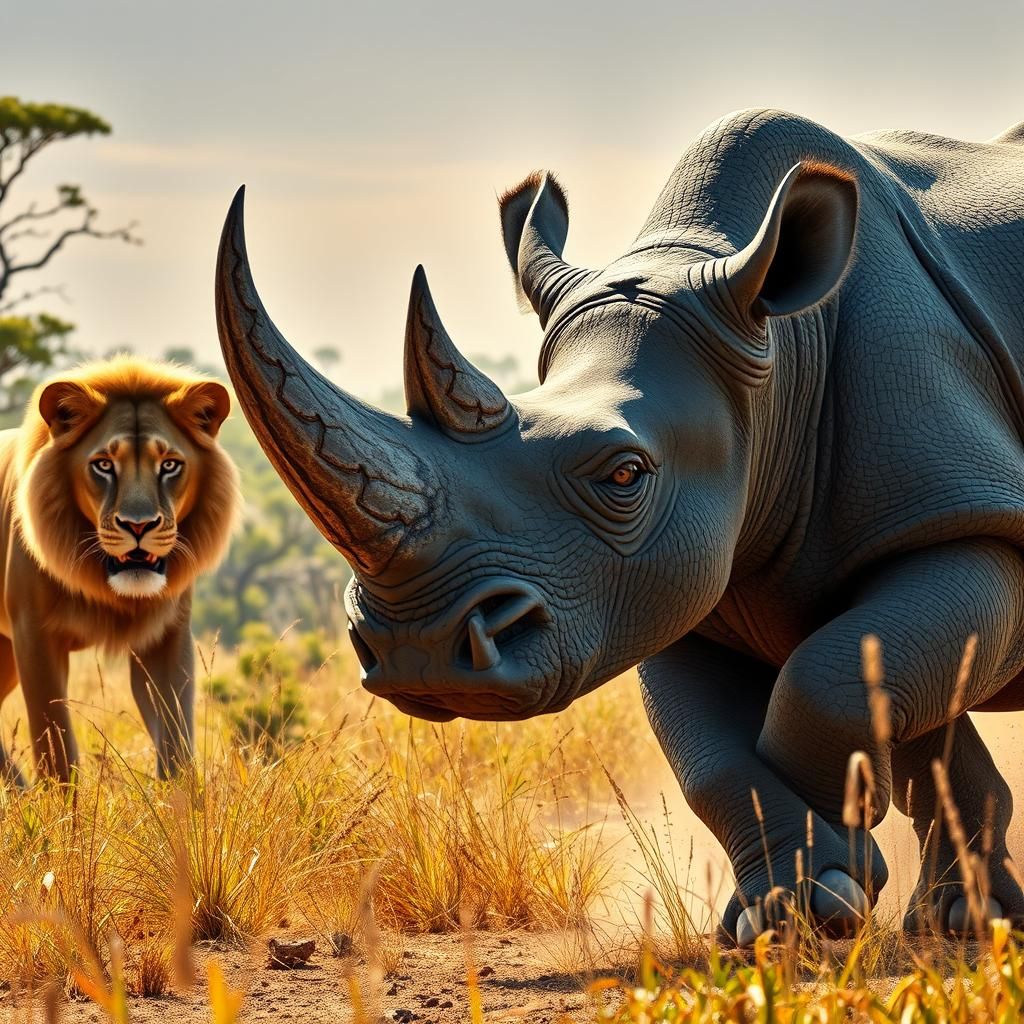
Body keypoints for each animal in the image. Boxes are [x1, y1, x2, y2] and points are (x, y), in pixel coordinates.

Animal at [215, 108, 1024, 946]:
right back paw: (962, 919)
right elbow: (722, 749)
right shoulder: (667, 583)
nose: (419, 652)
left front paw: (828, 890)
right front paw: (784, 910)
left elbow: (830, 681)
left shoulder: (963, 515)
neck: (777, 356)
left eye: (625, 475)